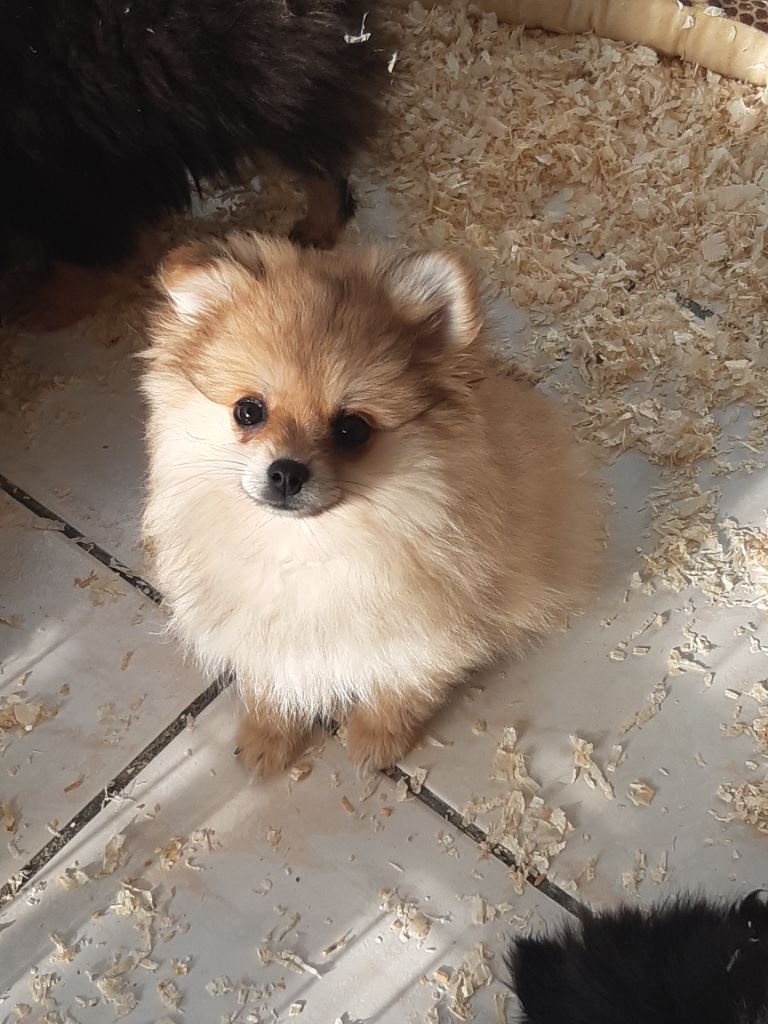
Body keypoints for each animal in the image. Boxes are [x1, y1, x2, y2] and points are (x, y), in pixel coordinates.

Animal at [0, 0, 386, 325]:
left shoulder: (74, 169)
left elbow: (84, 252)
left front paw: (44, 305)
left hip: (268, 79)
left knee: (322, 158)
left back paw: (316, 229)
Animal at [141, 232, 602, 775]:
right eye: (248, 411)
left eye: (351, 429)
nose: (286, 472)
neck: (307, 547)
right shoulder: (261, 628)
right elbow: (269, 679)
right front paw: (268, 736)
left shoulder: (424, 630)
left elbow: (402, 686)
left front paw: (376, 738)